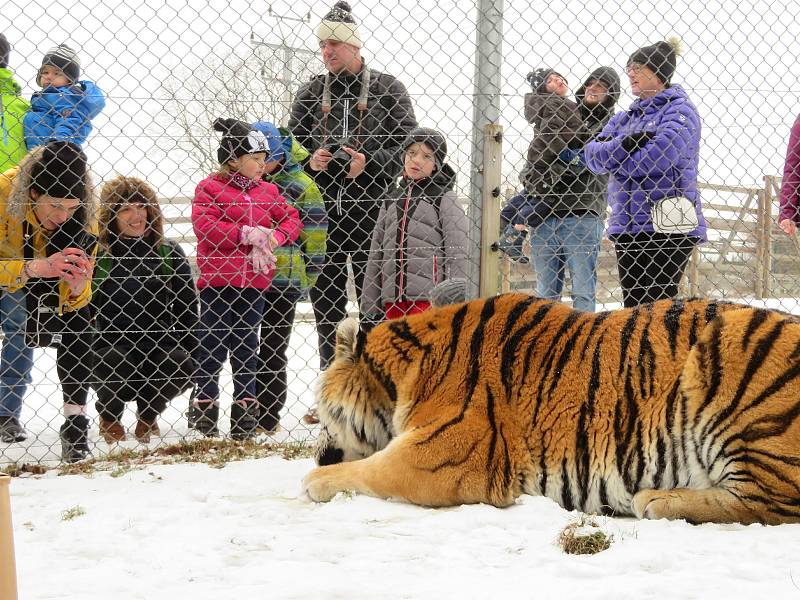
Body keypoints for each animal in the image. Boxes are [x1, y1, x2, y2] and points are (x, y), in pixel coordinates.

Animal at [304, 296, 800, 524]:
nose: (318, 452)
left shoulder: (446, 458)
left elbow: (370, 469)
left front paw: (314, 480)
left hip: (735, 370)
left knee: (770, 504)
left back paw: (658, 499)